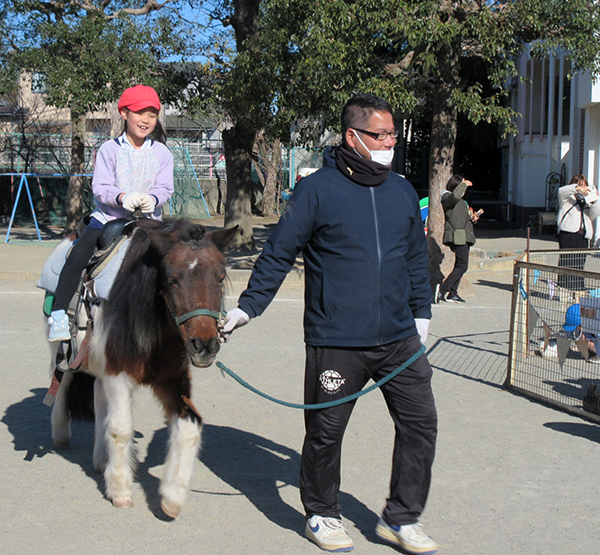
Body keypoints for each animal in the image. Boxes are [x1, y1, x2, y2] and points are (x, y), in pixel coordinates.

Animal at [49, 219, 237, 520]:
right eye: (172, 279)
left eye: (219, 278)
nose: (205, 346)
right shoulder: (118, 375)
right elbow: (121, 428)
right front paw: (120, 491)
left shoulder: (172, 380)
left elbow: (191, 424)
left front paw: (173, 495)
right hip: (63, 351)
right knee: (61, 380)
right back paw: (61, 433)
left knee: (99, 399)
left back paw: (101, 459)